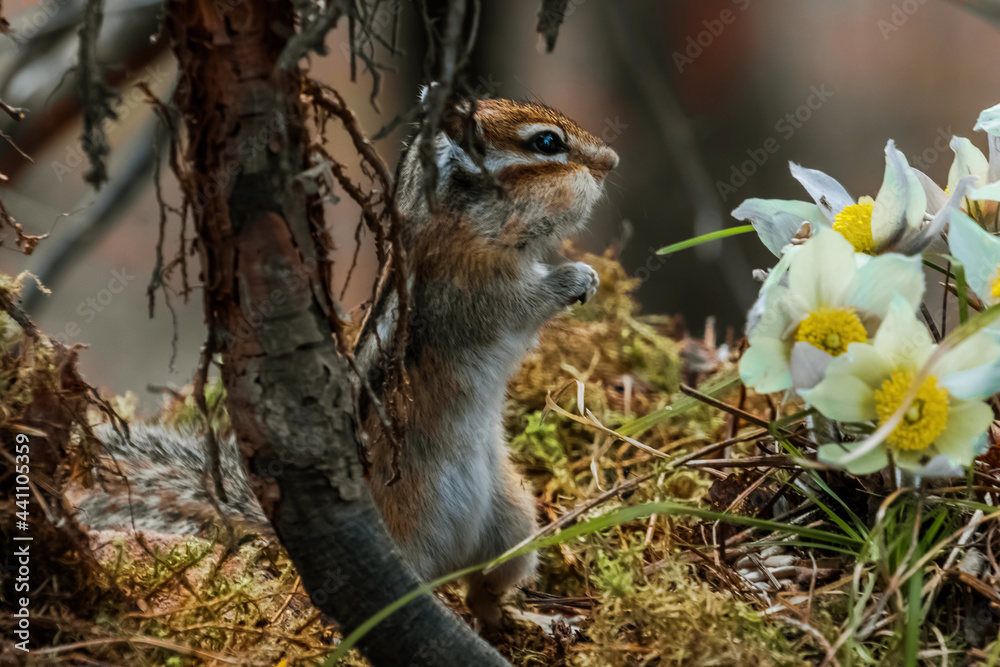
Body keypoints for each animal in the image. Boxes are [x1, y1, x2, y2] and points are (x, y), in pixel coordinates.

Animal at [73, 97, 618, 629]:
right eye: (546, 143)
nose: (612, 161)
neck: (467, 219)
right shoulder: (471, 287)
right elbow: (519, 305)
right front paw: (575, 276)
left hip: (513, 523)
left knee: (485, 591)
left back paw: (533, 619)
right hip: (412, 527)